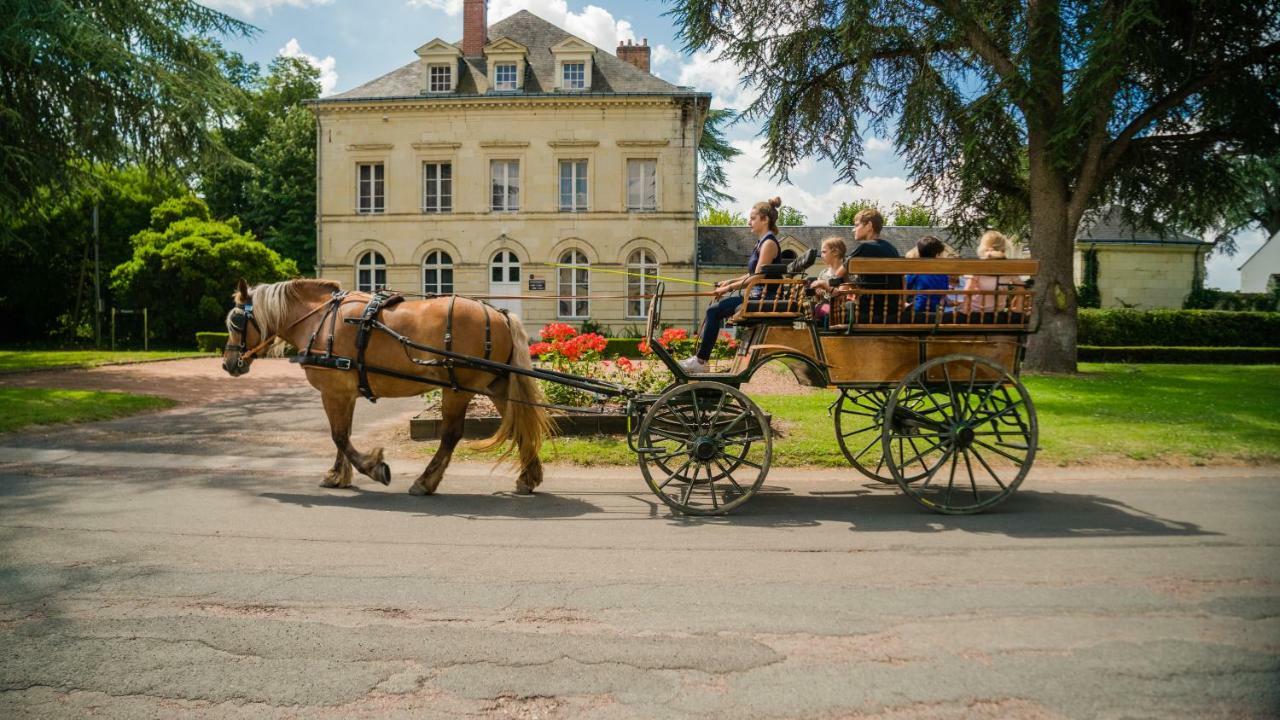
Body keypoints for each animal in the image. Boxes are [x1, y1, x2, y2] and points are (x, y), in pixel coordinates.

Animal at [220, 275, 550, 491]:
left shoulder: (333, 392)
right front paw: (338, 475)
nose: (227, 363)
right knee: (519, 423)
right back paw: (528, 476)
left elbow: (339, 436)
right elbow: (343, 434)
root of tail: (499, 313)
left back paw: (426, 481)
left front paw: (372, 467)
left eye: (236, 321)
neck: (320, 319)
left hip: (457, 389)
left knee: (450, 436)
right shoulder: (344, 393)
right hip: (497, 386)